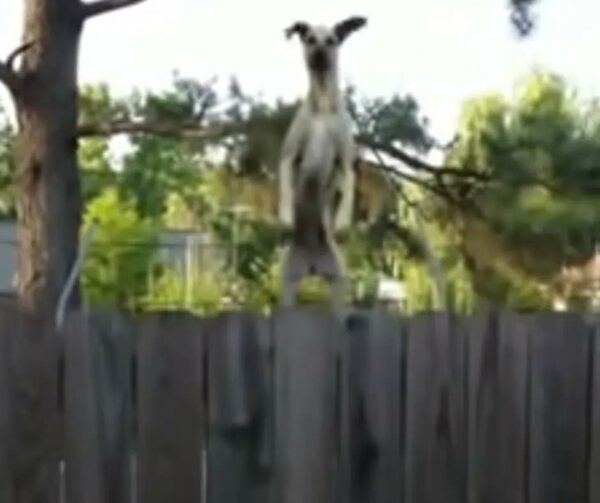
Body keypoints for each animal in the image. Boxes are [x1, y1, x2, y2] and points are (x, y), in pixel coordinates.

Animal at [276, 15, 366, 312]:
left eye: (332, 41)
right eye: (309, 39)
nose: (318, 54)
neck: (324, 104)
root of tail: (312, 266)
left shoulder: (346, 160)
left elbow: (349, 187)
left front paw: (342, 224)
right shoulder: (289, 155)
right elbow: (285, 186)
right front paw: (285, 219)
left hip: (338, 283)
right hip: (287, 286)